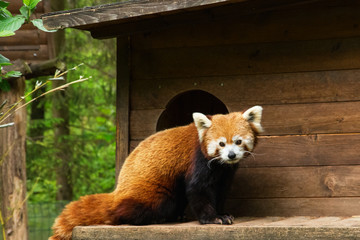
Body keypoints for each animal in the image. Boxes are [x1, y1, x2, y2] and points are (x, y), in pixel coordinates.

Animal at [49, 106, 262, 240]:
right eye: (221, 144)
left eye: (238, 142)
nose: (231, 155)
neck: (220, 166)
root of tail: (117, 193)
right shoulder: (198, 162)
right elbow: (198, 190)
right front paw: (213, 218)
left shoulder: (224, 173)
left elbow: (220, 190)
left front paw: (222, 212)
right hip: (151, 193)